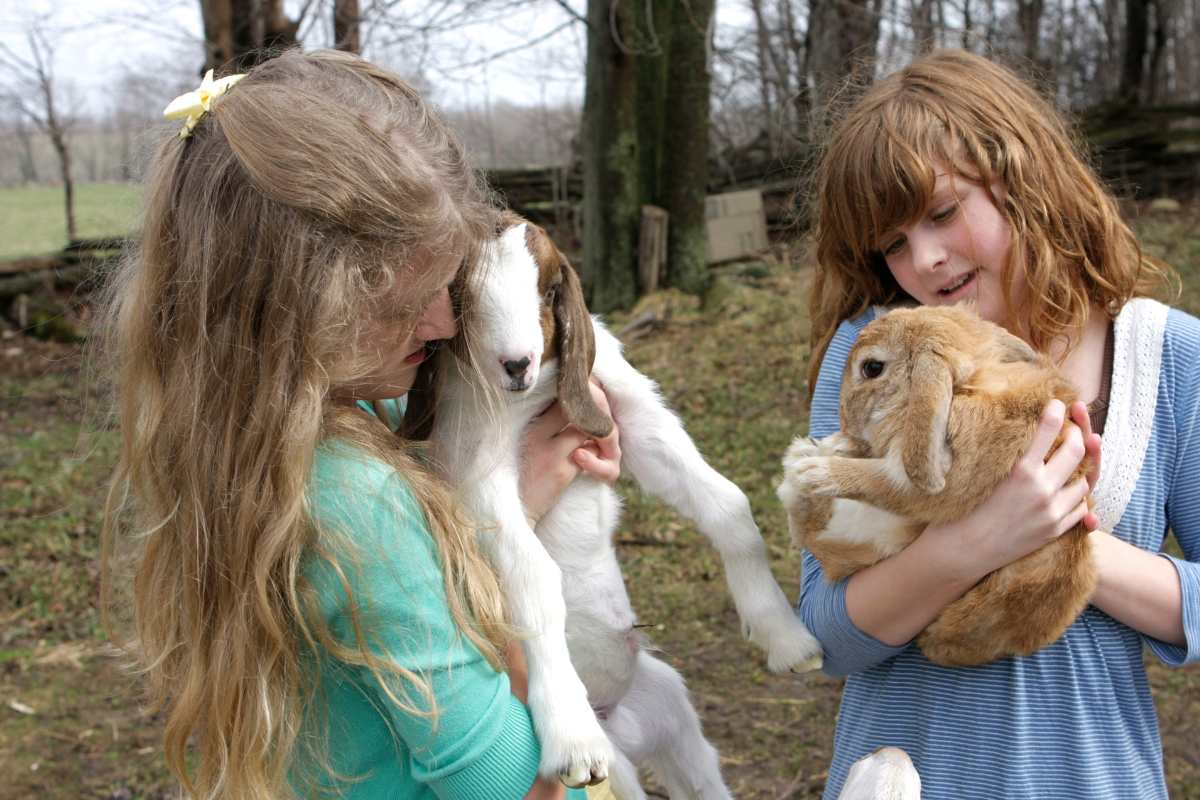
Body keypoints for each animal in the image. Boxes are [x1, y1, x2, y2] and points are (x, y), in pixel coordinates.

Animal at [777, 303, 1099, 666]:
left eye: (871, 368)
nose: (846, 423)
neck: (970, 386)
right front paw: (829, 451)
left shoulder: (932, 483)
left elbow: (879, 482)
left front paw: (815, 472)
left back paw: (804, 466)